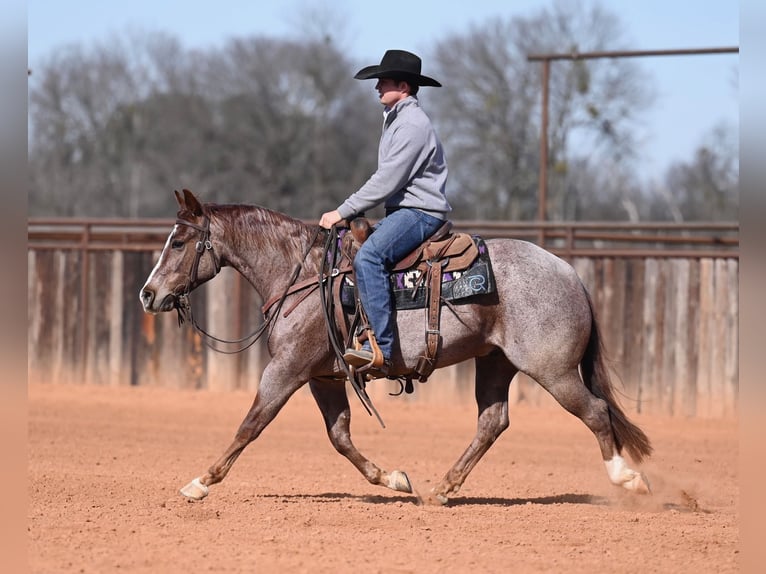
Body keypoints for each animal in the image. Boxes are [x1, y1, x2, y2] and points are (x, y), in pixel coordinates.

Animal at [139, 189, 652, 505]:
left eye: (179, 242)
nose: (147, 294)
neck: (301, 278)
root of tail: (570, 273)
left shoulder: (286, 369)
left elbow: (251, 425)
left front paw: (200, 482)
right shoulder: (324, 377)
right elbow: (340, 436)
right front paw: (394, 479)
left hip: (553, 369)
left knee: (595, 413)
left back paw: (627, 478)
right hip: (495, 364)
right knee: (493, 422)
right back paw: (442, 488)